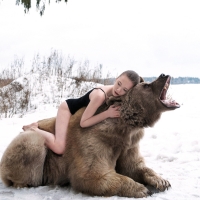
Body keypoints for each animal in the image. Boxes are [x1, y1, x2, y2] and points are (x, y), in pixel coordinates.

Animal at [0, 74, 180, 198]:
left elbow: (134, 165)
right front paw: (141, 189)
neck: (123, 127)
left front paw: (162, 181)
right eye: (147, 85)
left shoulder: (129, 143)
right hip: (27, 147)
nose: (164, 75)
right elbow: (92, 174)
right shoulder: (95, 138)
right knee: (33, 145)